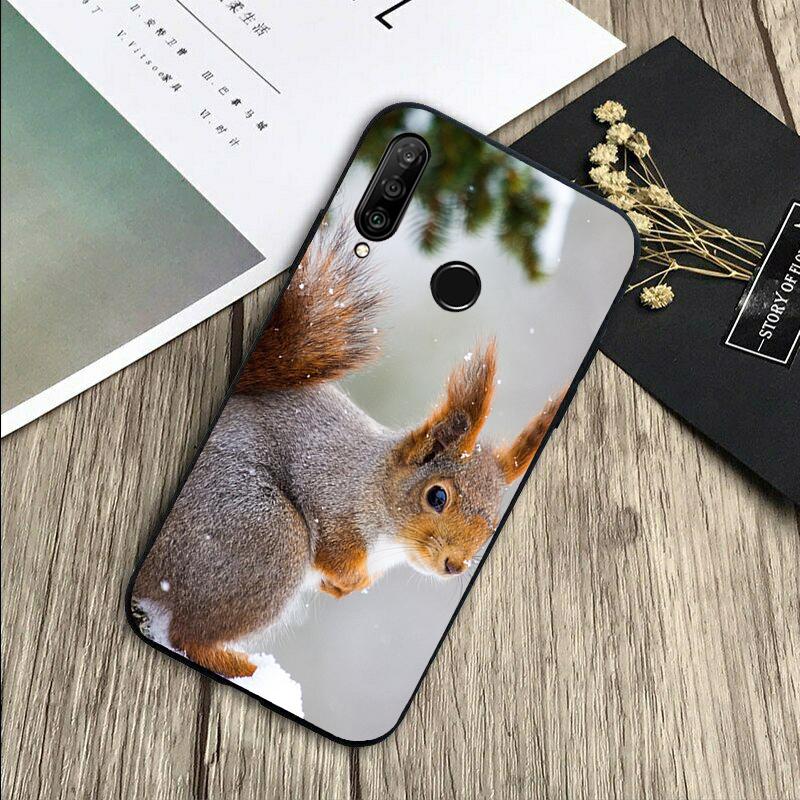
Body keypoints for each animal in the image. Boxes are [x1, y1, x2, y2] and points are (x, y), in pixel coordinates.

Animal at [131, 224, 565, 679]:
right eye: (437, 496)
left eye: (494, 523)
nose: (454, 566)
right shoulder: (329, 488)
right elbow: (335, 549)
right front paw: (349, 579)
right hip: (265, 536)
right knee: (187, 633)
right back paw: (244, 668)